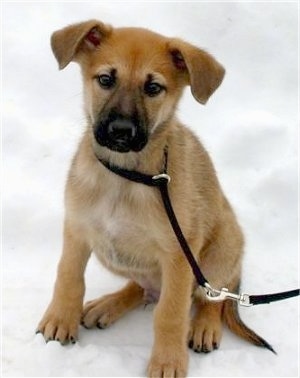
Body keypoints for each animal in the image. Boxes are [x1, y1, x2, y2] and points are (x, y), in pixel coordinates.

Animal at [37, 21, 272, 378]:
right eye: (106, 79)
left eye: (153, 88)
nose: (121, 131)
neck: (124, 177)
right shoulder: (78, 229)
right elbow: (68, 276)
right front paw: (61, 318)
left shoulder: (178, 254)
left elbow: (170, 314)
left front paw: (167, 361)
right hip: (113, 252)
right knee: (143, 286)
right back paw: (107, 305)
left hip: (222, 248)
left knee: (210, 297)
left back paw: (204, 326)